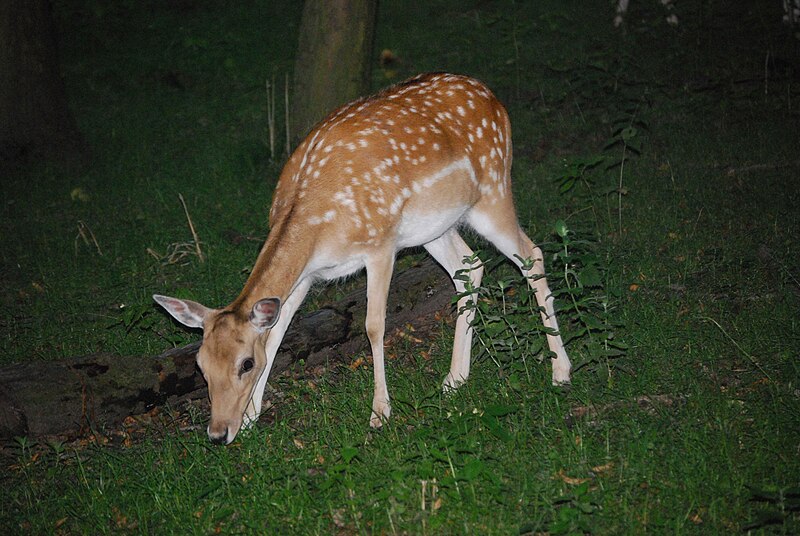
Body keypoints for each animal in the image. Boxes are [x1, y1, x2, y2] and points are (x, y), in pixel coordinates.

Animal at [155, 73, 568, 446]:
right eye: (201, 366)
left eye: (245, 364)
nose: (217, 433)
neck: (317, 221)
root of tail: (495, 101)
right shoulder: (307, 275)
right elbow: (275, 337)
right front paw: (253, 418)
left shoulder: (380, 243)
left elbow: (373, 325)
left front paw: (380, 413)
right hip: (434, 226)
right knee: (469, 266)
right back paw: (454, 380)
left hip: (493, 189)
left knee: (531, 254)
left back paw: (560, 372)